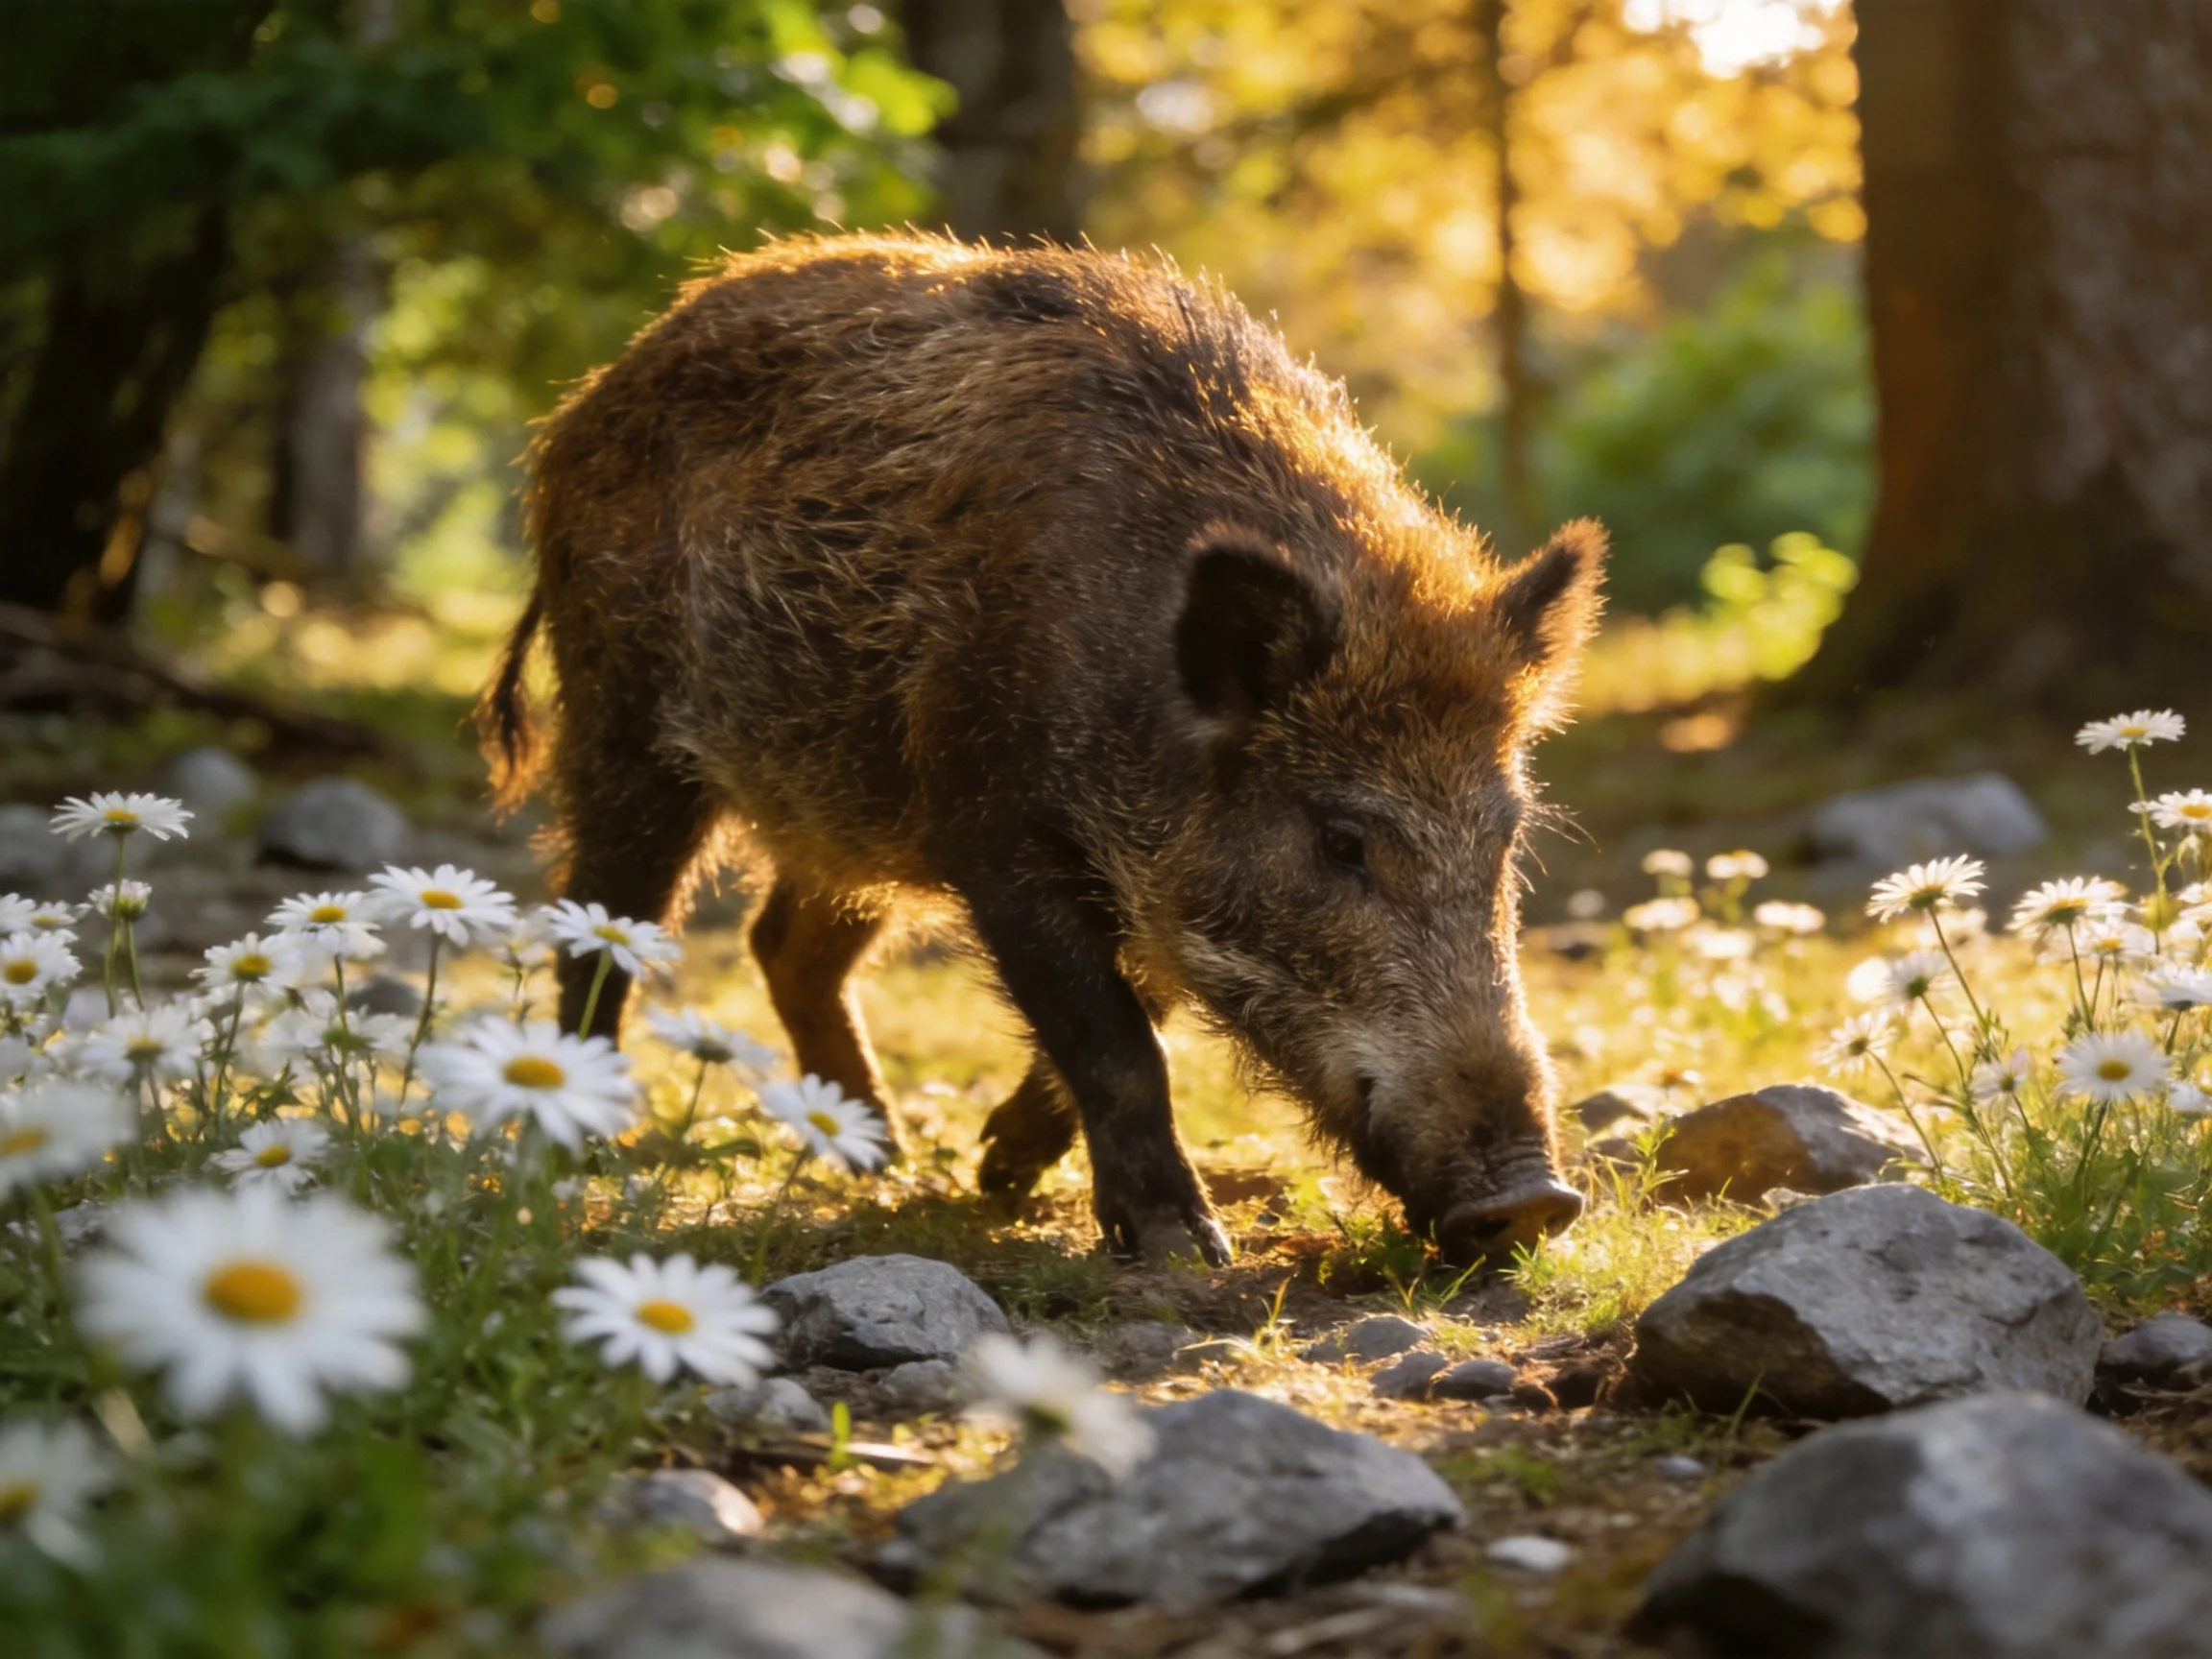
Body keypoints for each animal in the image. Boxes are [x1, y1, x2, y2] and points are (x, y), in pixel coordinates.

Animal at [482, 232, 1603, 1267]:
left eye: (1504, 841)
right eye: (1340, 841)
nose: (1533, 1202)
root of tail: (582, 406)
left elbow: (1135, 1007)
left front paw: (1000, 1174)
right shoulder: (995, 831)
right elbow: (1114, 1039)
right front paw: (1180, 1247)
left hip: (849, 801)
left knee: (782, 944)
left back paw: (881, 1158)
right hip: (623, 720)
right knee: (602, 927)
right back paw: (587, 1148)